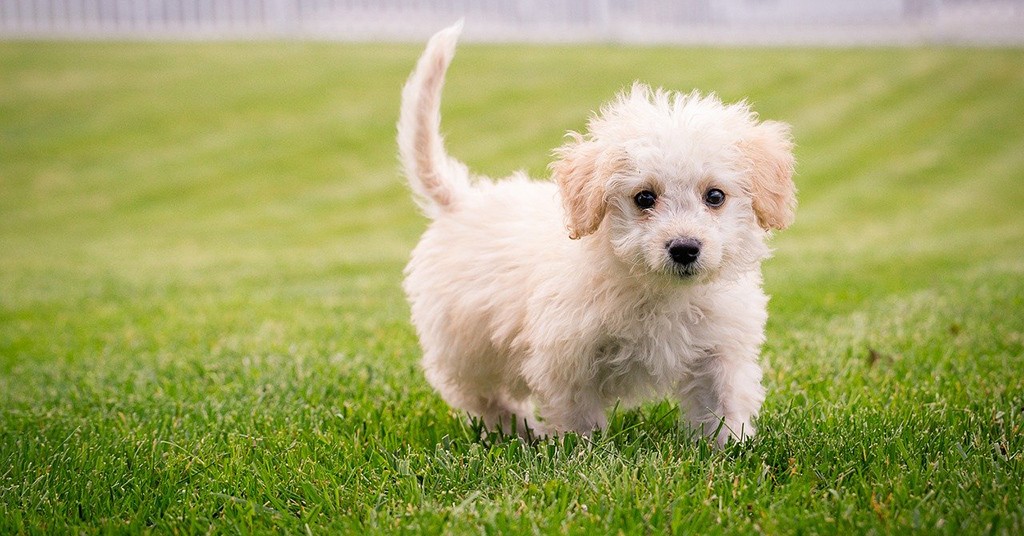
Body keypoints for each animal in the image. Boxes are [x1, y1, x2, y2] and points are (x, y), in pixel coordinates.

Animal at [395, 22, 794, 448]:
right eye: (644, 198)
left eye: (715, 196)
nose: (684, 248)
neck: (657, 291)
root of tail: (462, 199)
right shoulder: (566, 358)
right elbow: (578, 417)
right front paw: (581, 452)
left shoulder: (719, 351)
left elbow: (722, 405)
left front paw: (731, 448)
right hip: (466, 347)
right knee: (485, 397)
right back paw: (521, 432)